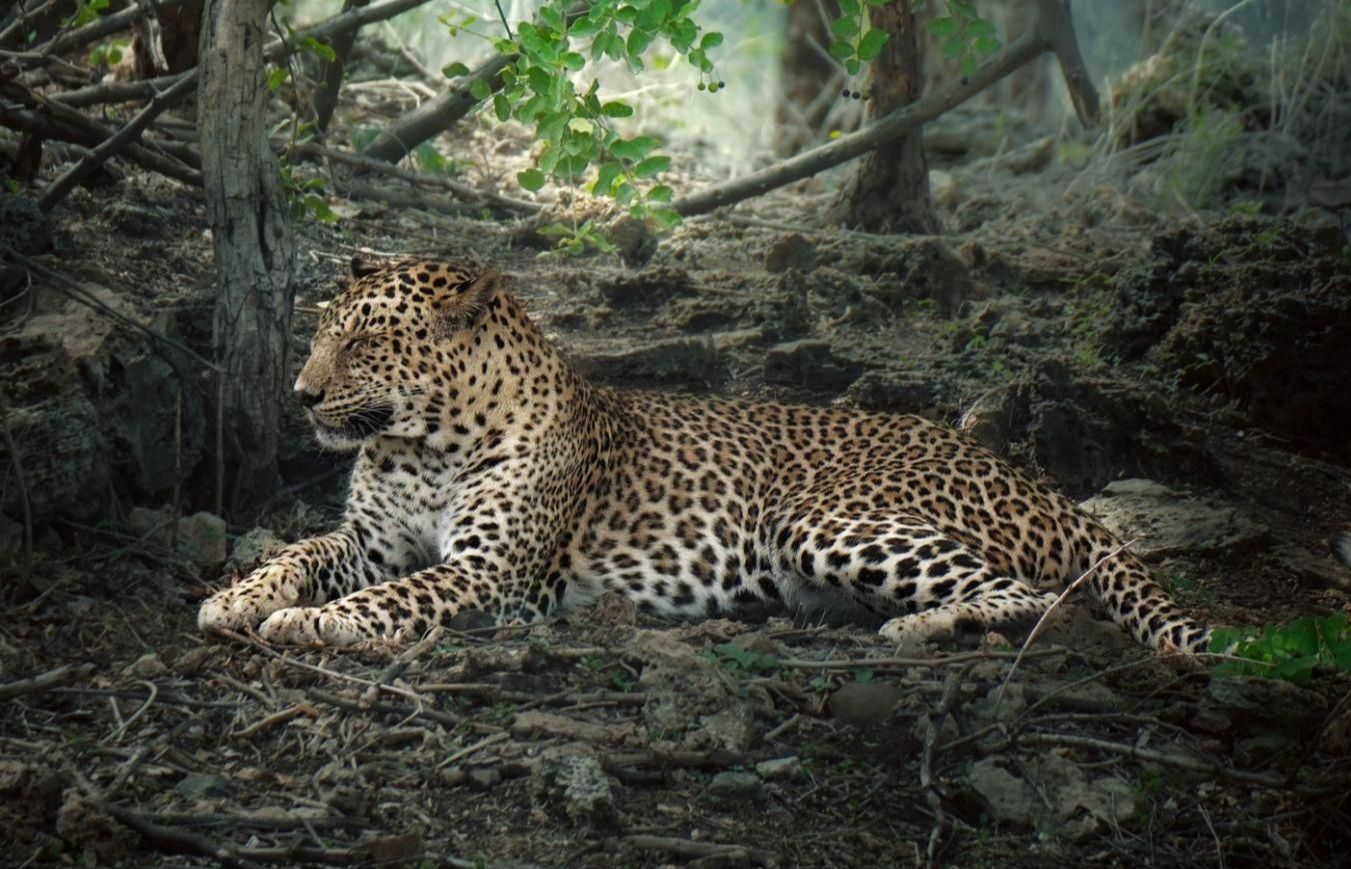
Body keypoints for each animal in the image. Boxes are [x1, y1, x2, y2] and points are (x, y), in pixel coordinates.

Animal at [198, 256, 1216, 654]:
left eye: (367, 341)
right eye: (321, 331)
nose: (301, 395)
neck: (423, 442)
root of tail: (1030, 480)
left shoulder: (487, 571)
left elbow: (391, 599)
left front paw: (307, 622)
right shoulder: (370, 540)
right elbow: (301, 551)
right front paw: (237, 596)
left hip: (822, 517)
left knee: (1033, 595)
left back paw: (923, 626)